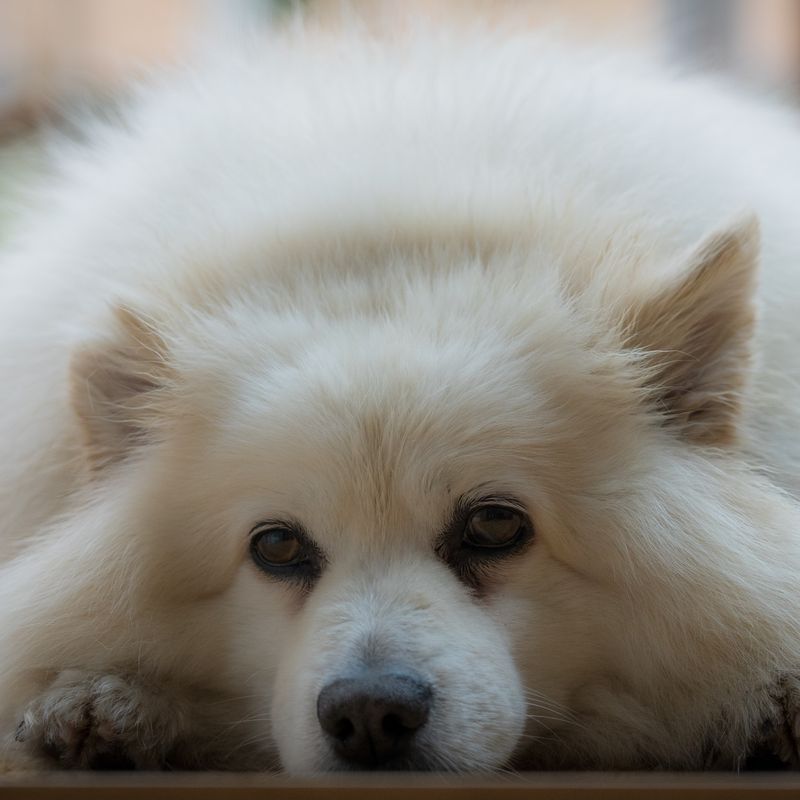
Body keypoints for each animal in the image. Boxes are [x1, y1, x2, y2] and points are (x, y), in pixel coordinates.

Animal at [1, 25, 800, 772]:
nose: (369, 715)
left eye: (495, 525)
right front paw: (107, 701)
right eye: (276, 545)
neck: (398, 227)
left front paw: (767, 700)